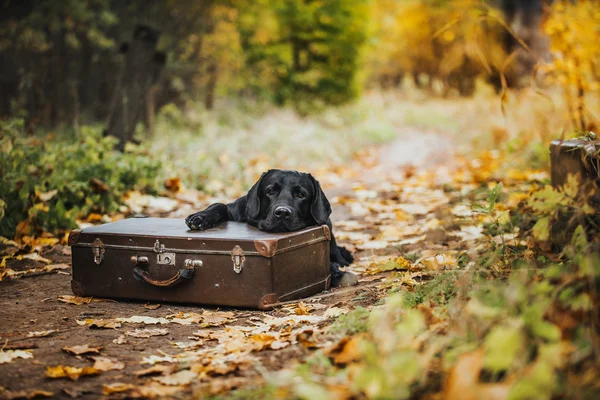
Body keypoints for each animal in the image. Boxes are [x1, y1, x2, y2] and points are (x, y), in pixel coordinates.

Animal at [185, 170, 356, 286]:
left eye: (301, 194)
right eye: (270, 191)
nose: (282, 213)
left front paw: (336, 272)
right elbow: (219, 205)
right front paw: (200, 217)